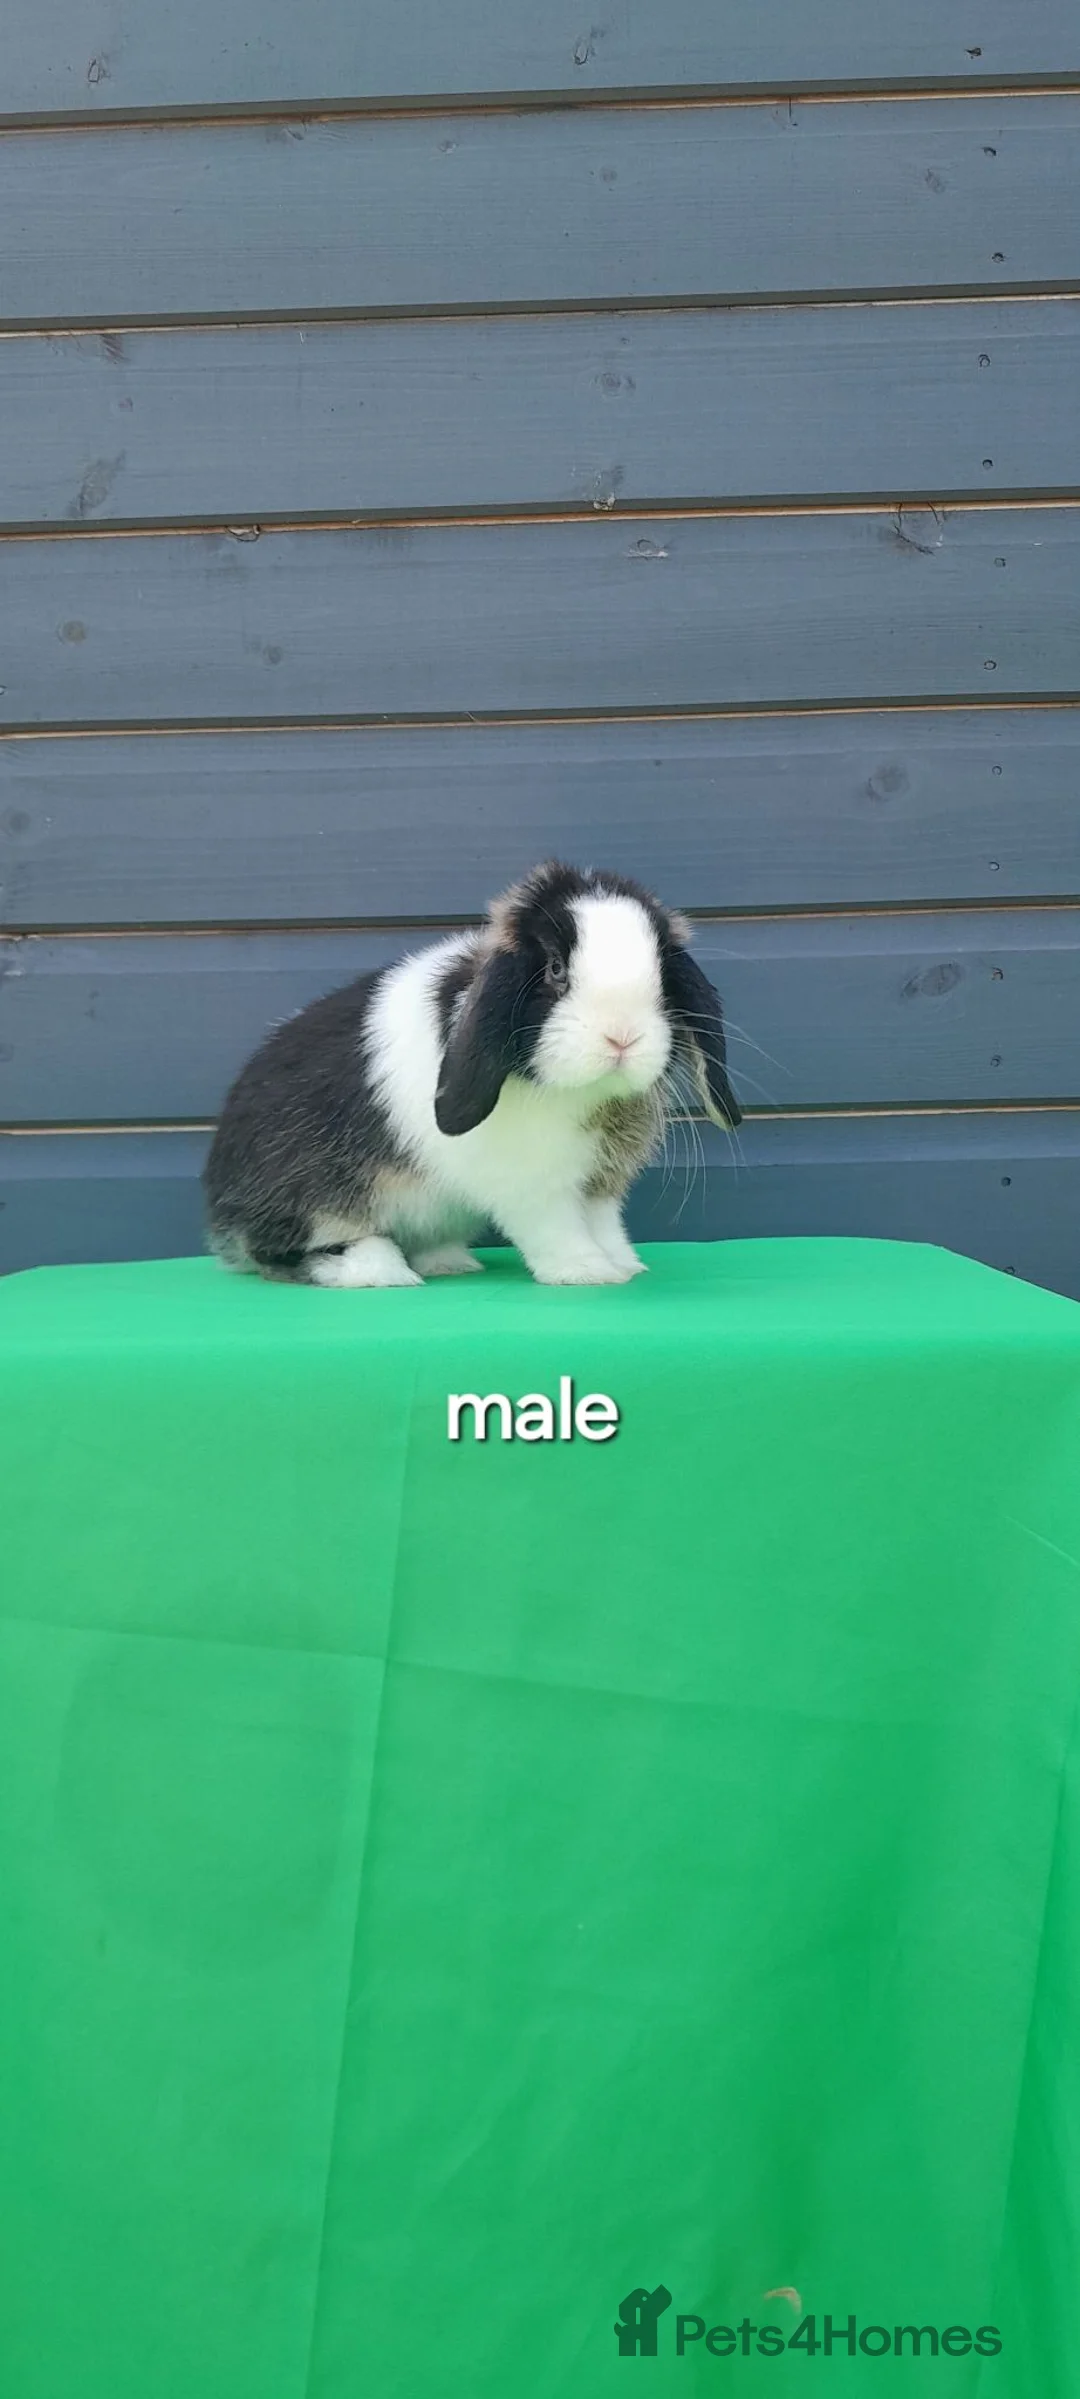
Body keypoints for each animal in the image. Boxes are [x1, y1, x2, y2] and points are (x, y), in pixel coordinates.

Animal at [203, 859, 741, 1288]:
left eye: (662, 970)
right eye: (554, 969)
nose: (622, 1037)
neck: (583, 1097)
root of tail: (221, 1209)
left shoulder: (600, 1184)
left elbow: (605, 1223)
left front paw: (625, 1266)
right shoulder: (532, 1186)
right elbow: (556, 1228)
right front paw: (586, 1273)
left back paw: (447, 1262)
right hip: (314, 1205)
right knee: (284, 1253)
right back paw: (381, 1270)